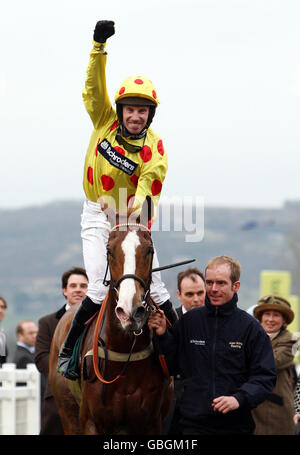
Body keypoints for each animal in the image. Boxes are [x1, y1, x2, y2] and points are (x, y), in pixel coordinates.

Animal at [48, 203, 172, 434]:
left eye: (150, 250)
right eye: (108, 251)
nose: (130, 310)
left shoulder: (151, 422)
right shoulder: (91, 422)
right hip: (67, 412)